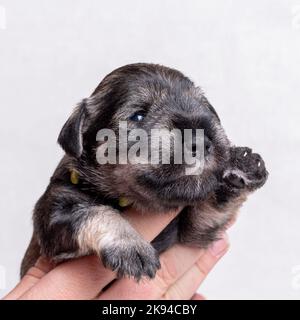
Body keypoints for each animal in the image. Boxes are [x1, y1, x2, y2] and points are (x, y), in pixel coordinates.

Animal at [21, 63, 270, 278]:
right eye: (138, 115)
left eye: (205, 108)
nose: (200, 140)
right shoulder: (54, 213)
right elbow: (93, 211)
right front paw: (131, 245)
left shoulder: (193, 232)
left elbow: (212, 206)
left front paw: (242, 166)